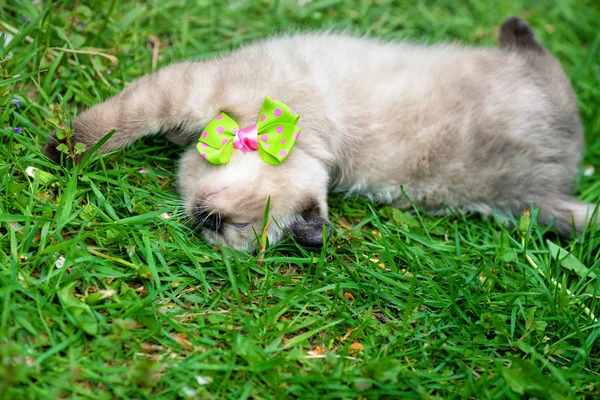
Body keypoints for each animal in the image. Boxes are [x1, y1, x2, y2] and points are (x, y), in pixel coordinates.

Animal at [45, 18, 596, 250]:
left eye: (224, 229)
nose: (203, 215)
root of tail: (548, 187)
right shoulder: (186, 94)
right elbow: (117, 124)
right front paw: (63, 153)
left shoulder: (185, 93)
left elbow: (120, 122)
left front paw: (60, 153)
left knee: (547, 67)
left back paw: (514, 28)